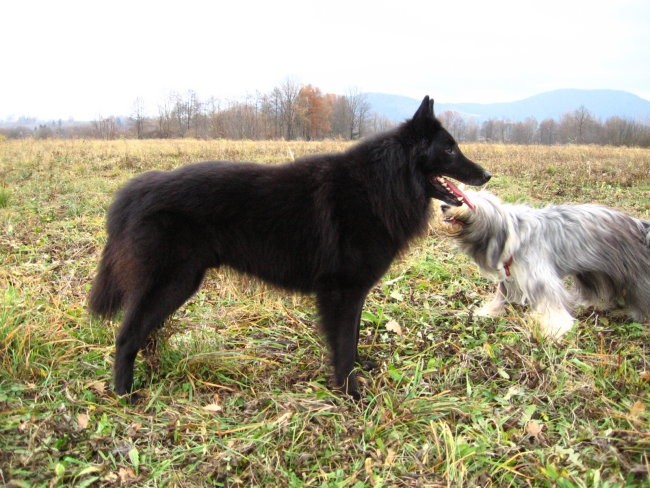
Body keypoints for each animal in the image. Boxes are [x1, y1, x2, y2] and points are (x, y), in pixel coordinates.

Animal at [88, 96, 488, 400]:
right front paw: (351, 392)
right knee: (126, 336)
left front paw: (359, 369)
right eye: (450, 148)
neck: (380, 184)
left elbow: (353, 335)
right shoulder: (341, 292)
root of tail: (135, 191)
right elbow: (344, 343)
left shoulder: (353, 292)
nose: (487, 175)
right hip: (173, 283)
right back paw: (125, 393)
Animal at [436, 192, 648, 340]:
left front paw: (556, 328)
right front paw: (487, 313)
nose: (444, 205)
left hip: (634, 274)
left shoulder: (540, 277)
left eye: (463, 199)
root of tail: (639, 225)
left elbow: (551, 304)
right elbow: (501, 296)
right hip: (596, 271)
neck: (512, 232)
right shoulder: (511, 277)